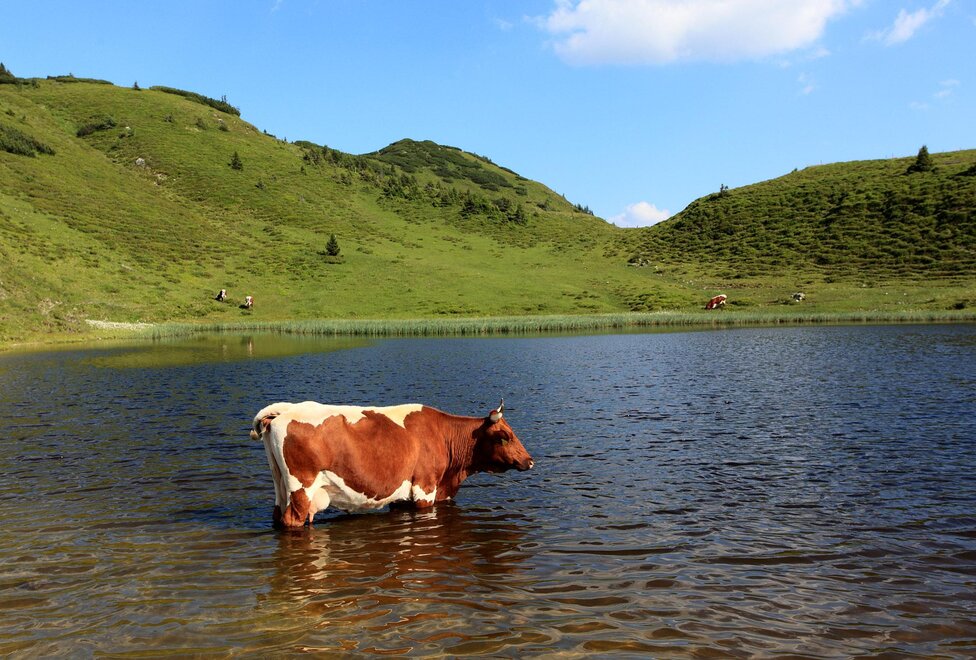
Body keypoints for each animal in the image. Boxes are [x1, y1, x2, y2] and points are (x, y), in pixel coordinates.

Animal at [250, 399, 533, 528]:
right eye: (505, 436)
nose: (530, 461)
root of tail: (288, 410)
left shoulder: (402, 497)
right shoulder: (425, 488)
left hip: (280, 486)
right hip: (301, 488)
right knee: (292, 519)